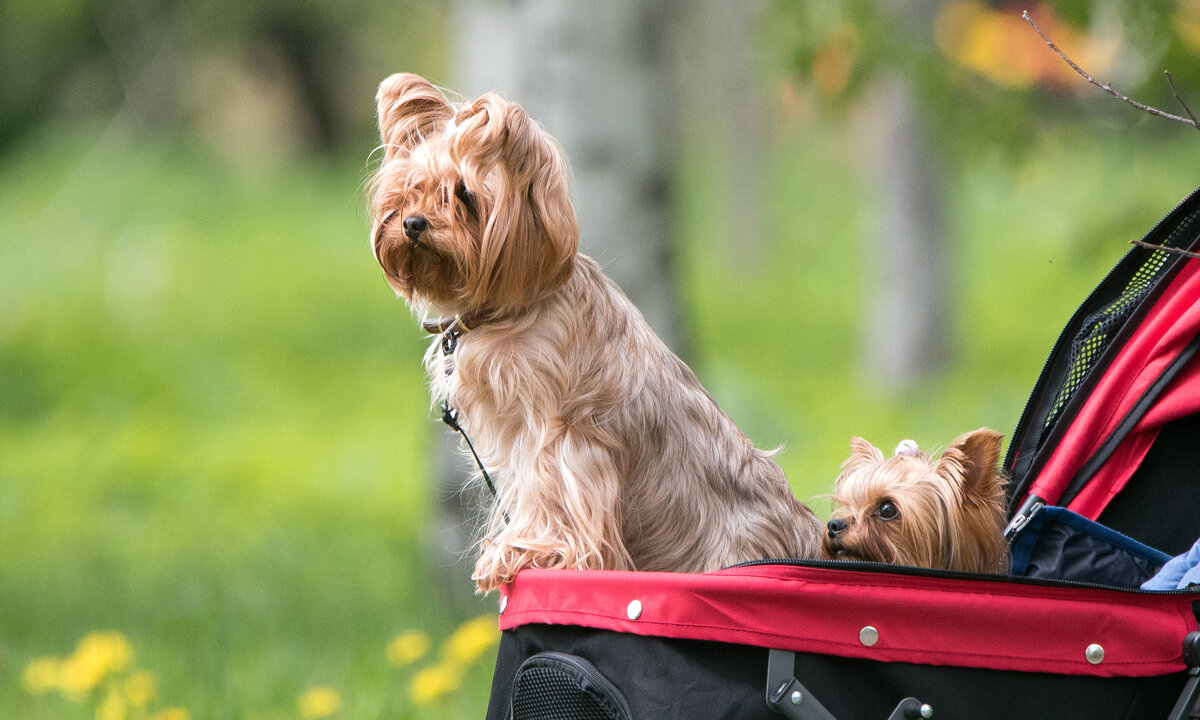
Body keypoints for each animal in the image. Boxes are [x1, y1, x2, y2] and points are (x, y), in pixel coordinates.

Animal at [367, 73, 825, 592]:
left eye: (463, 194)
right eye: (412, 187)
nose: (412, 223)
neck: (512, 307)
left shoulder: (563, 434)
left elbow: (550, 492)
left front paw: (526, 551)